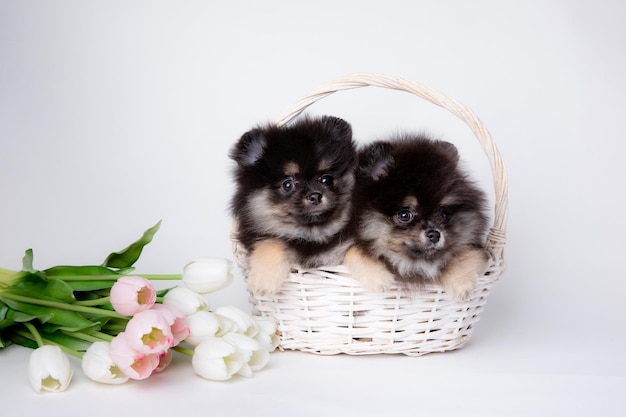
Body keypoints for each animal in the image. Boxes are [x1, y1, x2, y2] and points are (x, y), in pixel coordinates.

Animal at [229, 115, 356, 294]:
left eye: (326, 179)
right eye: (287, 184)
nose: (315, 196)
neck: (310, 235)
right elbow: (270, 242)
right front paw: (264, 280)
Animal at [344, 133, 490, 300]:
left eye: (443, 213)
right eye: (404, 214)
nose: (434, 234)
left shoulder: (475, 248)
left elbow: (466, 255)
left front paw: (462, 284)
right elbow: (353, 250)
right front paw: (378, 279)